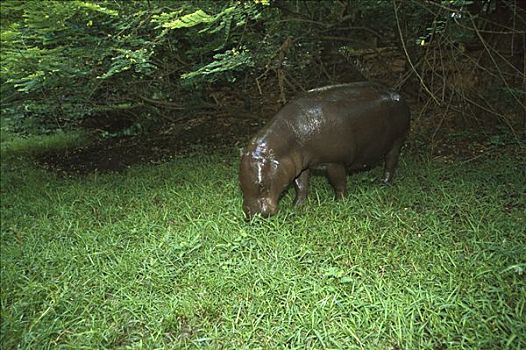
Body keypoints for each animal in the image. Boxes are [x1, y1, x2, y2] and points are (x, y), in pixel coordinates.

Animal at [239, 82, 412, 219]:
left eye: (262, 185)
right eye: (240, 183)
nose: (251, 215)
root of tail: (399, 95)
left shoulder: (334, 162)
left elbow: (339, 183)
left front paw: (340, 203)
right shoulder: (300, 166)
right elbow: (301, 185)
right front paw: (297, 206)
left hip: (397, 141)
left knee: (390, 162)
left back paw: (384, 184)